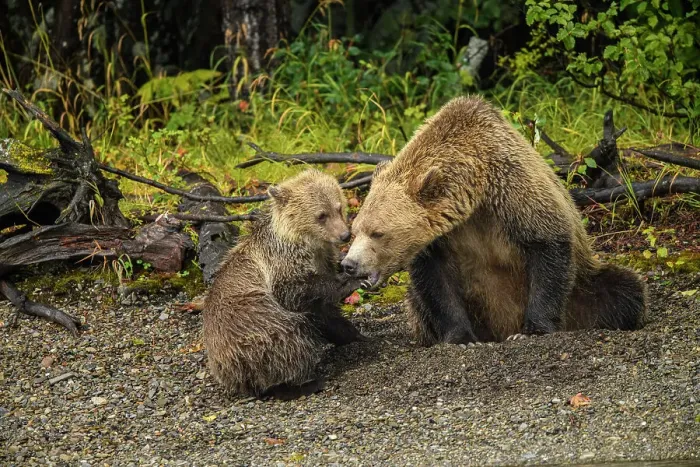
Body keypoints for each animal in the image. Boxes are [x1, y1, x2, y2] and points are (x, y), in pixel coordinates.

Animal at [203, 169, 368, 399]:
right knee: (289, 340)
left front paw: (354, 334)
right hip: (254, 330)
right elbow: (302, 292)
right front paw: (352, 280)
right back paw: (306, 382)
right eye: (321, 215)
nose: (344, 235)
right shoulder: (281, 269)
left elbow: (325, 313)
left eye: (338, 207)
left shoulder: (321, 261)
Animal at [341, 95, 647, 345]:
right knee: (417, 305)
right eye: (355, 230)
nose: (349, 264)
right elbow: (436, 284)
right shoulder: (443, 237)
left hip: (582, 289)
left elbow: (547, 241)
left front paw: (531, 330)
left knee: (621, 290)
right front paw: (461, 337)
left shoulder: (512, 190)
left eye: (378, 232)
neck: (475, 191)